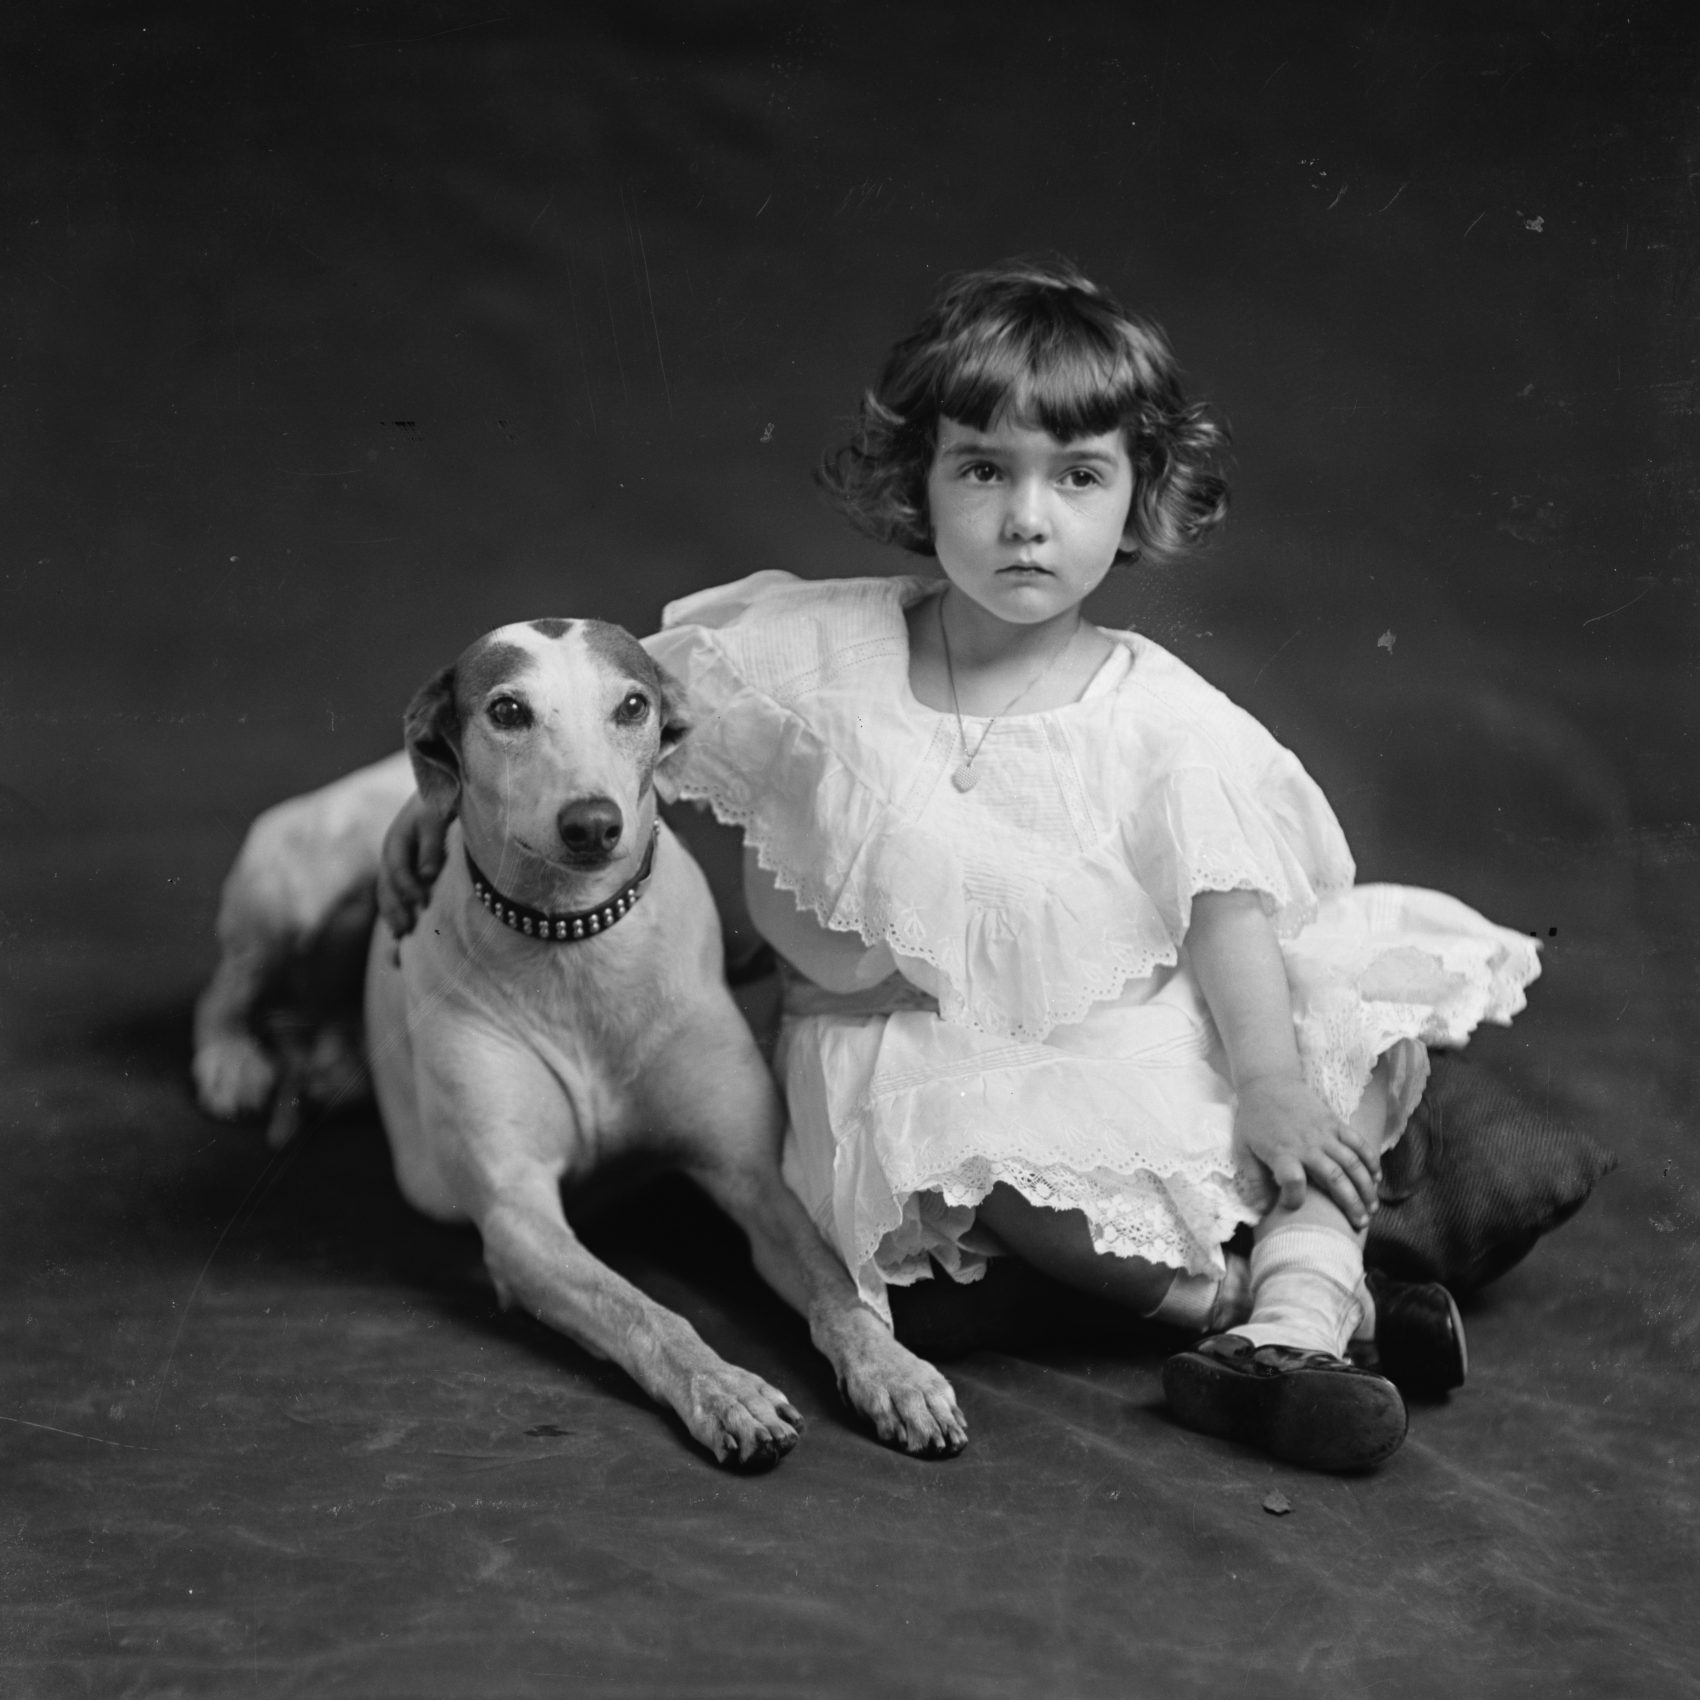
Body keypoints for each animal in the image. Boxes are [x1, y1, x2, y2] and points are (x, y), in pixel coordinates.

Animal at [191, 618, 965, 1468]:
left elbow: (833, 1282)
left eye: (632, 705)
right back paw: (230, 1062)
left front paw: (894, 1372)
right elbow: (643, 1309)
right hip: (289, 889)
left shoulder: (752, 1176)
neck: (574, 939)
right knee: (230, 980)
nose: (592, 823)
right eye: (507, 710)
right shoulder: (519, 1218)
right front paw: (728, 1392)